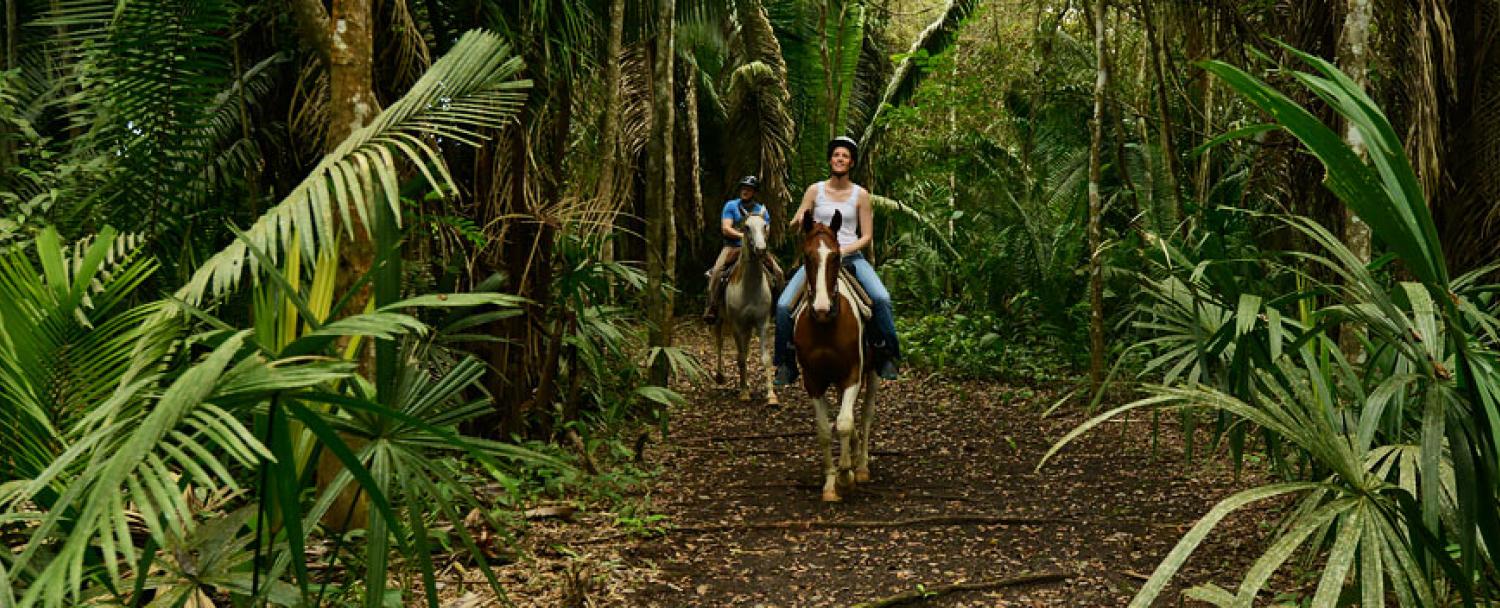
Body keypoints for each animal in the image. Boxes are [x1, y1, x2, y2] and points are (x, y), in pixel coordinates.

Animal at [717, 210, 780, 405]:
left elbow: (765, 358)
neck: (750, 286)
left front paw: (771, 395)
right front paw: (744, 392)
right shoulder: (737, 325)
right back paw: (720, 376)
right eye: (746, 227)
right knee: (719, 342)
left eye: (765, 225)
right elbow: (741, 357)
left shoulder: (762, 322)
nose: (760, 249)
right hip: (720, 320)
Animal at [792, 210, 876, 498]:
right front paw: (830, 482)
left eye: (837, 256)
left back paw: (860, 467)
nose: (821, 308)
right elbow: (825, 430)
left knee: (865, 416)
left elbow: (845, 422)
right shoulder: (813, 380)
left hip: (873, 373)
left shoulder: (852, 374)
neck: (825, 327)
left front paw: (845, 477)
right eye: (807, 256)